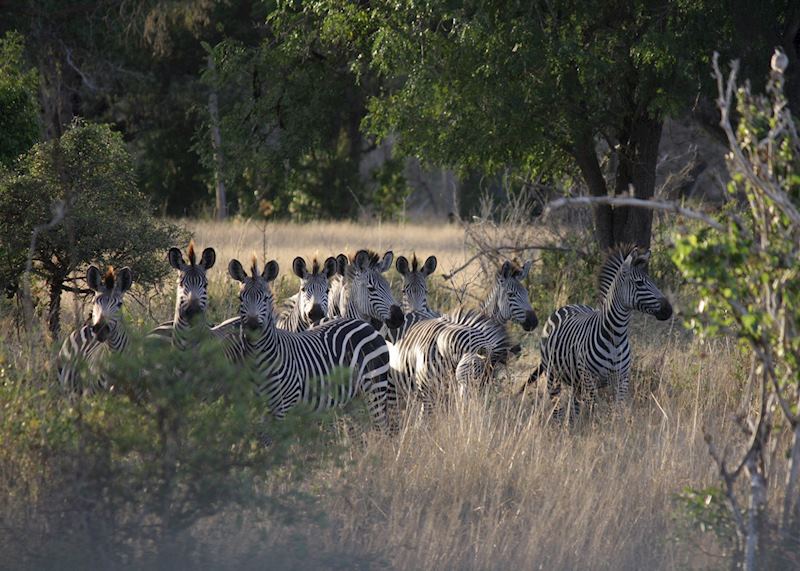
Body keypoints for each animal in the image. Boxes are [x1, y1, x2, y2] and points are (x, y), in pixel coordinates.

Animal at [227, 256, 392, 432]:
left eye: (266, 298)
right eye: (240, 298)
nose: (252, 326)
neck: (259, 357)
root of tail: (364, 324)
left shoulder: (284, 406)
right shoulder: (260, 409)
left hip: (375, 387)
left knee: (382, 429)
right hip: (352, 396)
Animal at [520, 244, 672, 422]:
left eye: (652, 282)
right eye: (639, 283)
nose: (668, 309)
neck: (616, 336)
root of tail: (568, 305)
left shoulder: (622, 378)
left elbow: (617, 410)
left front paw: (614, 427)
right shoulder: (589, 379)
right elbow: (596, 411)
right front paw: (598, 427)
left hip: (576, 382)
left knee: (574, 407)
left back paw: (572, 426)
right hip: (553, 375)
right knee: (557, 407)